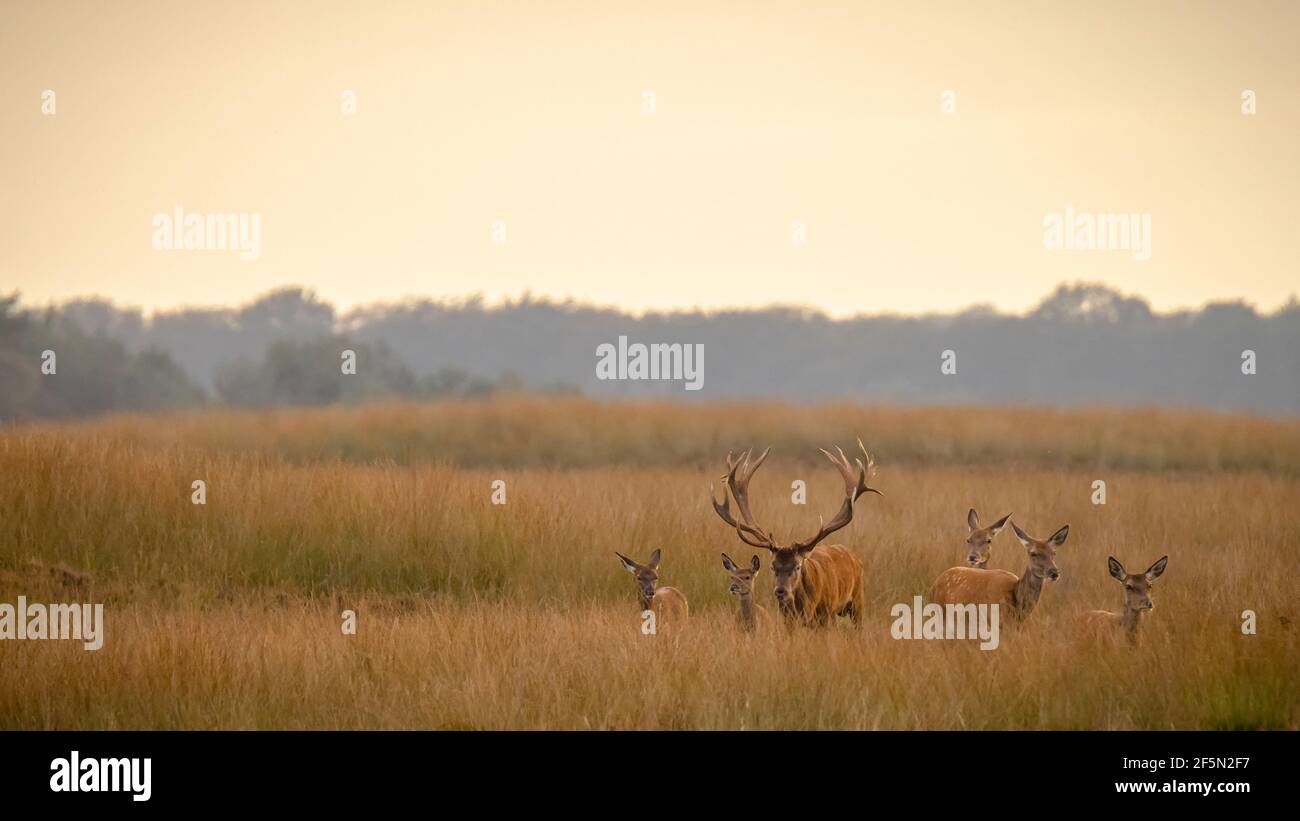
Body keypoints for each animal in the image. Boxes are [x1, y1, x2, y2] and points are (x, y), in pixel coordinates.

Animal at [712, 441, 883, 628]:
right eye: (772, 566)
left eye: (798, 566)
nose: (780, 591)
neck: (806, 608)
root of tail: (855, 557)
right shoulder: (787, 618)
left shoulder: (826, 614)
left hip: (858, 600)